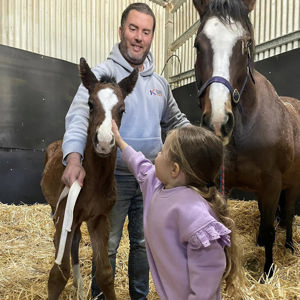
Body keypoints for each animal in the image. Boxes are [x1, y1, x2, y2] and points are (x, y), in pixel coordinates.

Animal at [40, 57, 138, 298]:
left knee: (75, 241)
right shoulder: (65, 212)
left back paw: (79, 286)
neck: (93, 182)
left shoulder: (99, 218)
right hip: (57, 210)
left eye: (122, 109)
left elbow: (104, 273)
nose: (103, 142)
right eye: (90, 105)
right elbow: (57, 275)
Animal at [193, 0, 300, 278]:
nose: (218, 122)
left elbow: (272, 229)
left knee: (289, 214)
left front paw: (268, 271)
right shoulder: (224, 183)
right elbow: (225, 224)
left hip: (292, 185)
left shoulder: (273, 185)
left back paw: (289, 245)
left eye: (246, 43)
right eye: (198, 44)